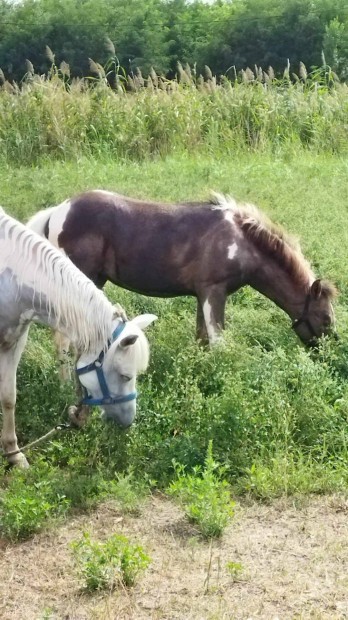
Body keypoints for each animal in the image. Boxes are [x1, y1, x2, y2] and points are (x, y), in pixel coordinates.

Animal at [0, 206, 157, 468]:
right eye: (125, 376)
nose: (127, 422)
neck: (11, 280)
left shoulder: (15, 340)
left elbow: (9, 396)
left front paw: (14, 453)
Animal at [27, 191, 338, 352]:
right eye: (325, 318)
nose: (324, 353)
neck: (240, 240)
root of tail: (58, 210)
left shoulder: (202, 294)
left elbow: (202, 338)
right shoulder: (215, 291)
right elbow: (218, 340)